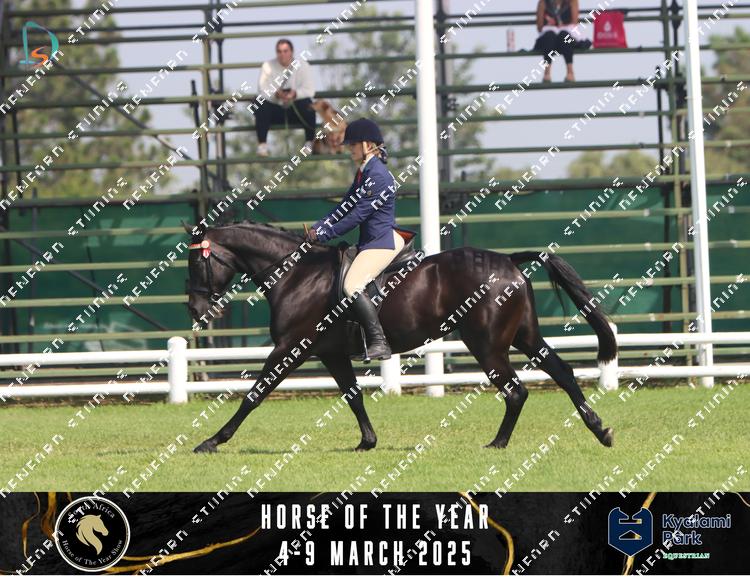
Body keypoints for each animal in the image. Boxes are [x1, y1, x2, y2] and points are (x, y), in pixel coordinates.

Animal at [183, 220, 616, 454]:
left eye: (195, 261)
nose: (194, 309)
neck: (297, 275)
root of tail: (509, 261)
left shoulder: (290, 348)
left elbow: (255, 394)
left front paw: (213, 440)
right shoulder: (332, 354)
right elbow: (353, 396)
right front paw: (367, 441)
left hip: (487, 345)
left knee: (516, 391)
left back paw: (498, 443)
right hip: (523, 337)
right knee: (562, 372)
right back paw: (600, 429)